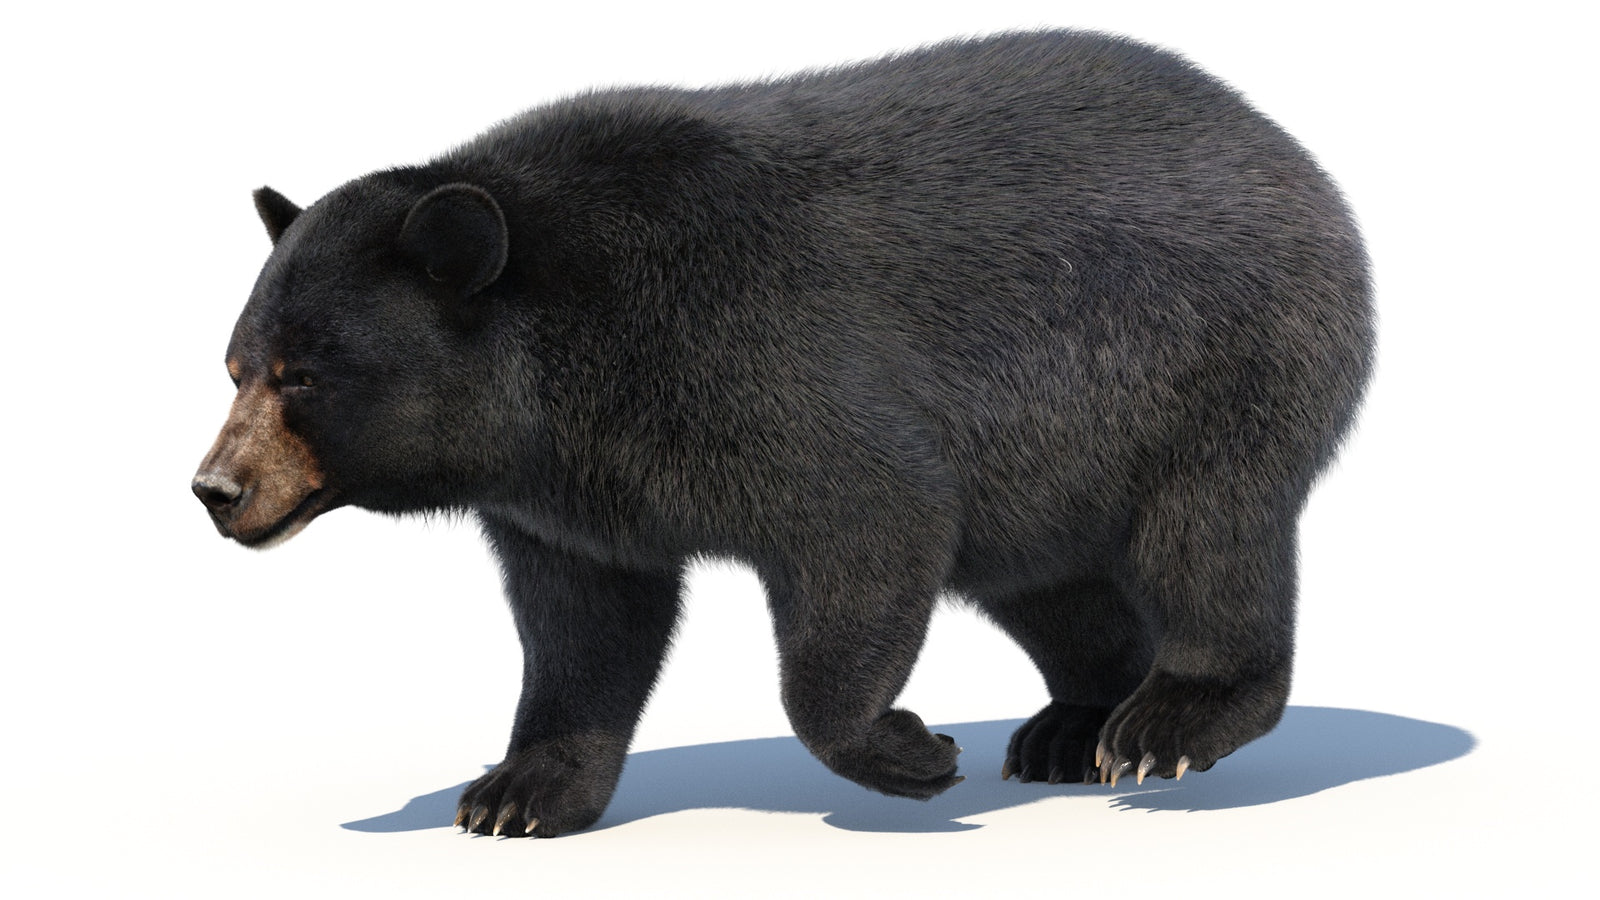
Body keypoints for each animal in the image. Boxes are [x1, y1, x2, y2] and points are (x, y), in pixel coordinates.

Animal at [193, 30, 1374, 838]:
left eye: (306, 375)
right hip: (1051, 467)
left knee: (1206, 535)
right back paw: (1073, 726)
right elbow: (584, 624)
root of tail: (1286, 149)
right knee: (1053, 584)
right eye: (237, 366)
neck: (560, 368)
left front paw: (906, 750)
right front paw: (518, 791)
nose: (216, 489)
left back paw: (1166, 725)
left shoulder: (751, 358)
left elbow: (871, 517)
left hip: (1212, 361)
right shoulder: (566, 493)